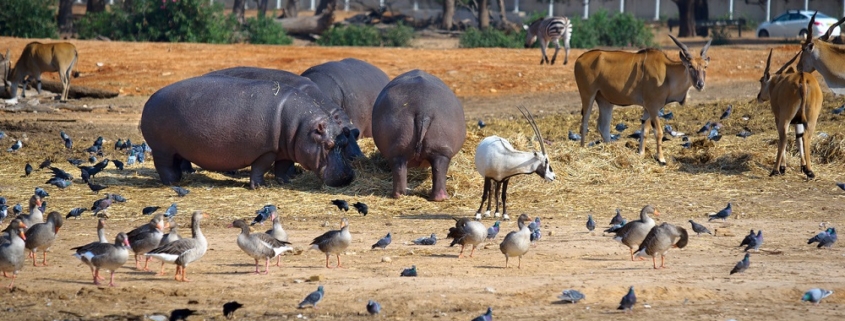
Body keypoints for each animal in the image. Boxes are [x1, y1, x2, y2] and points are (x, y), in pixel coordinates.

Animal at [572, 35, 712, 165]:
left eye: (705, 66)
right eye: (690, 66)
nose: (700, 84)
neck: (667, 72)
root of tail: (579, 58)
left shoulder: (647, 108)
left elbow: (644, 131)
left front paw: (641, 153)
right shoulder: (653, 107)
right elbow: (658, 132)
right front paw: (661, 159)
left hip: (605, 101)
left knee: (603, 127)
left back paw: (611, 150)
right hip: (588, 95)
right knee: (584, 124)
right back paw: (582, 149)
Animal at [756, 49, 820, 178]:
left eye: (761, 80)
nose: (759, 96)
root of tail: (802, 78)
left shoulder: (778, 119)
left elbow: (783, 139)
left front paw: (782, 167)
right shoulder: (798, 122)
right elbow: (798, 139)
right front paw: (803, 166)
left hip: (785, 119)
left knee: (783, 138)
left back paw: (775, 170)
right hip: (811, 119)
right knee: (806, 137)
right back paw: (810, 171)